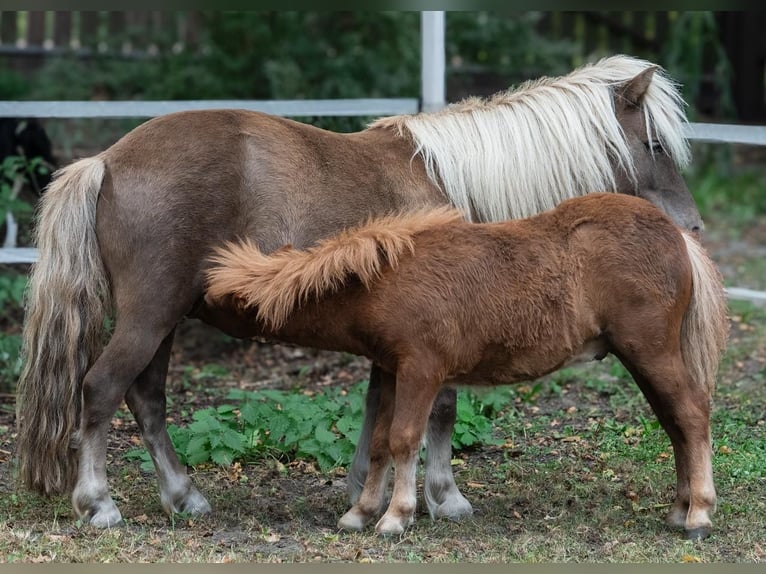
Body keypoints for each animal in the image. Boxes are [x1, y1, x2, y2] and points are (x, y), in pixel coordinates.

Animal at [206, 194, 732, 540]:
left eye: (227, 299)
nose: (196, 303)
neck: (384, 278)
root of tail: (676, 234)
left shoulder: (421, 371)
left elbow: (403, 440)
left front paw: (394, 518)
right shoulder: (392, 371)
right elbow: (378, 442)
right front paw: (361, 513)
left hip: (650, 353)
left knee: (691, 415)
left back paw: (699, 515)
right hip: (645, 361)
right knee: (675, 423)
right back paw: (679, 508)